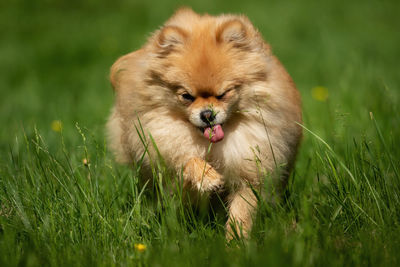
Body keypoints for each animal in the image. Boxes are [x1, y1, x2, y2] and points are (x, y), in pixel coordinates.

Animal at [106, 8, 300, 240]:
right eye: (187, 96)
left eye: (224, 94)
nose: (207, 114)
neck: (213, 146)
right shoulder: (168, 152)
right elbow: (187, 160)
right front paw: (207, 177)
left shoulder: (250, 170)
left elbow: (241, 211)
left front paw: (236, 241)